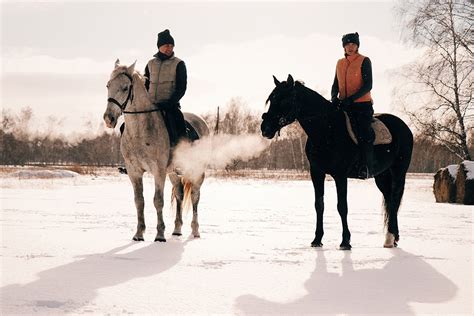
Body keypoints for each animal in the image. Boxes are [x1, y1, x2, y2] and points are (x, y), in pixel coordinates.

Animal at [103, 59, 209, 242]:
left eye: (125, 87)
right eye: (108, 85)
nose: (108, 118)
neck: (141, 130)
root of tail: (202, 122)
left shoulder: (158, 171)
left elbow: (158, 200)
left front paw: (160, 235)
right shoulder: (134, 172)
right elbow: (139, 201)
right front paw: (139, 234)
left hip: (196, 171)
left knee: (195, 196)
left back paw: (195, 231)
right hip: (174, 173)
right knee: (180, 194)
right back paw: (177, 230)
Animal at [262, 74, 412, 249]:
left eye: (284, 100)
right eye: (271, 99)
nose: (265, 128)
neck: (326, 130)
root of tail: (405, 127)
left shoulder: (340, 175)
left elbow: (342, 206)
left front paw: (346, 241)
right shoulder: (316, 173)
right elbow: (319, 205)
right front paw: (317, 239)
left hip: (398, 172)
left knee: (394, 200)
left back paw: (390, 237)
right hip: (381, 175)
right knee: (389, 200)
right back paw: (393, 238)